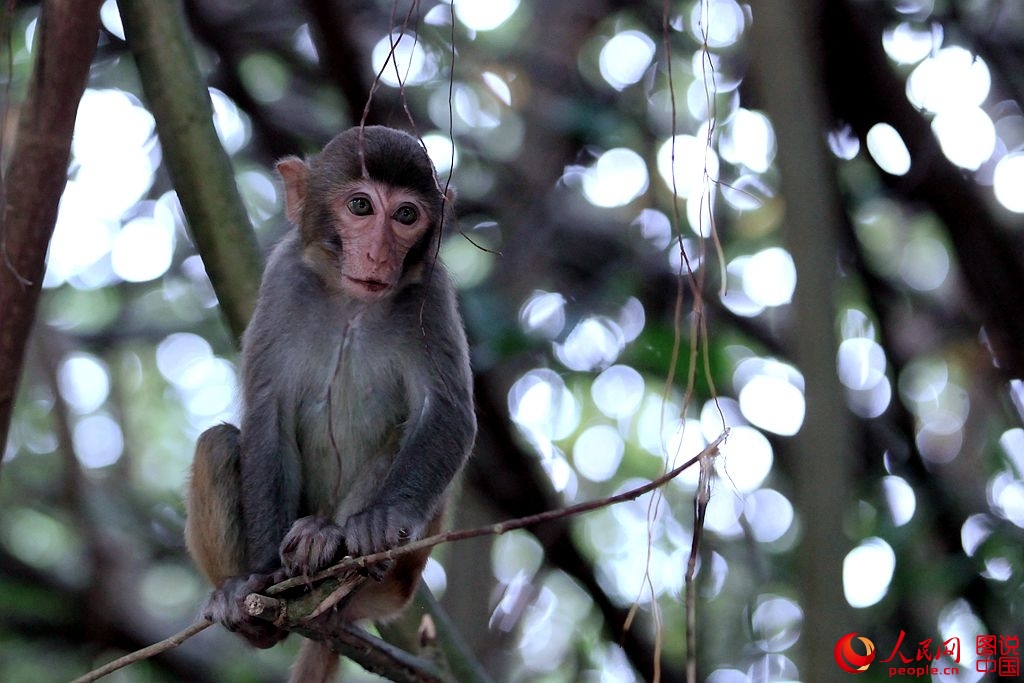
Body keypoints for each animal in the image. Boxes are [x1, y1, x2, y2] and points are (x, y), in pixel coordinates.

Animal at [184, 125, 475, 679]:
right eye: (361, 206)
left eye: (406, 216)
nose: (379, 255)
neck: (351, 301)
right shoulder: (281, 281)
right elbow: (267, 414)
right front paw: (261, 575)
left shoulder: (431, 294)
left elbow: (447, 412)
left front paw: (381, 519)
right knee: (217, 442)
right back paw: (244, 599)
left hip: (398, 589)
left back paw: (332, 541)